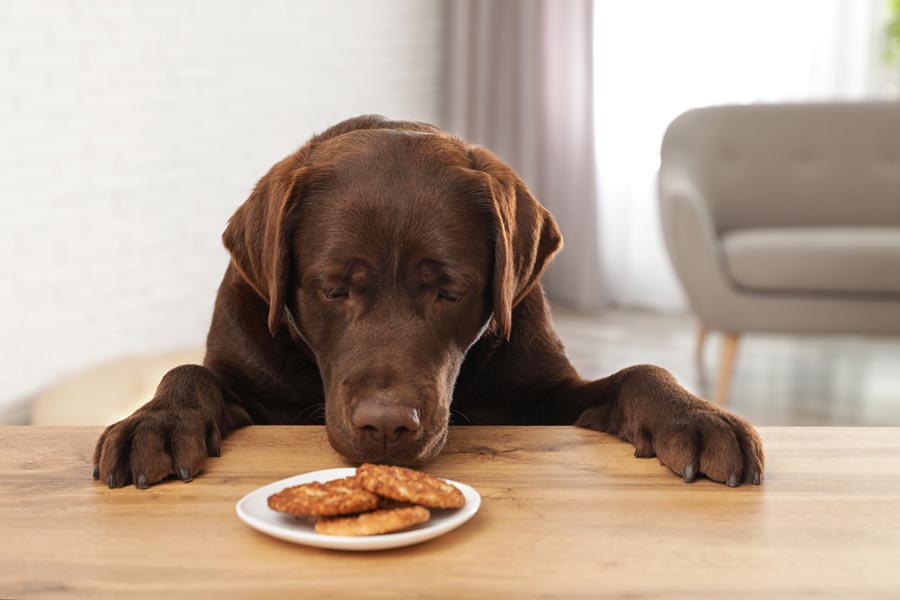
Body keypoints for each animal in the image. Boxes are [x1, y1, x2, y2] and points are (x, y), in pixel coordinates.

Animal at [91, 116, 764, 488]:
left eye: (450, 290)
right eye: (333, 288)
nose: (387, 427)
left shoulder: (543, 395)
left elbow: (639, 371)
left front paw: (696, 416)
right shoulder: (248, 377)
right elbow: (188, 371)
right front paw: (155, 421)